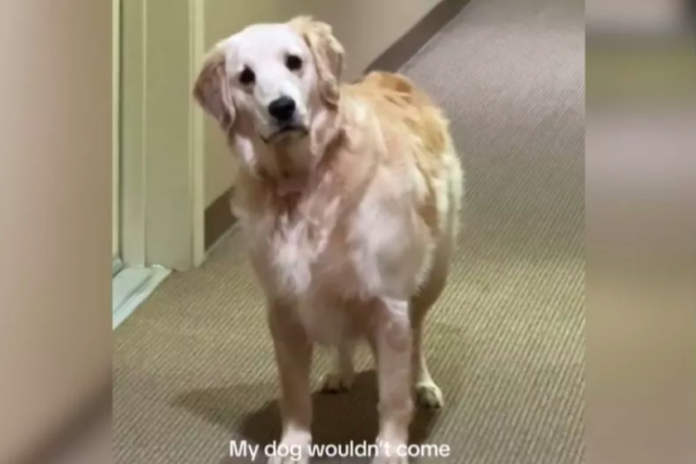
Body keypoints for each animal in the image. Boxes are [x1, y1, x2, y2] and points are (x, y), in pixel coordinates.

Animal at [192, 16, 462, 462]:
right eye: (245, 77)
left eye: (294, 61)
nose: (282, 108)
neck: (303, 182)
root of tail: (391, 78)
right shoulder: (284, 306)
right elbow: (294, 395)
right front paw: (293, 446)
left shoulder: (389, 304)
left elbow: (392, 398)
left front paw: (391, 450)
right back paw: (340, 371)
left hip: (432, 275)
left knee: (418, 336)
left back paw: (422, 382)